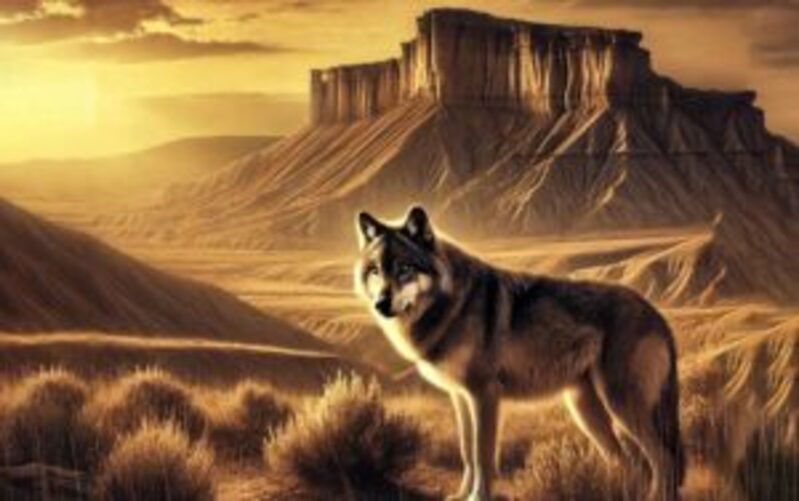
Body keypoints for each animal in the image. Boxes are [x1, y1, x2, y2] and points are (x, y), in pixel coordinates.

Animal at [353, 206, 685, 501]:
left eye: (404, 269)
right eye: (375, 271)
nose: (381, 304)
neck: (451, 305)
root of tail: (657, 314)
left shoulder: (484, 394)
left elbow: (483, 455)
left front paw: (478, 497)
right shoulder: (460, 397)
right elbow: (466, 451)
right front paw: (461, 494)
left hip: (620, 405)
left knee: (664, 459)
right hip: (586, 410)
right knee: (632, 463)